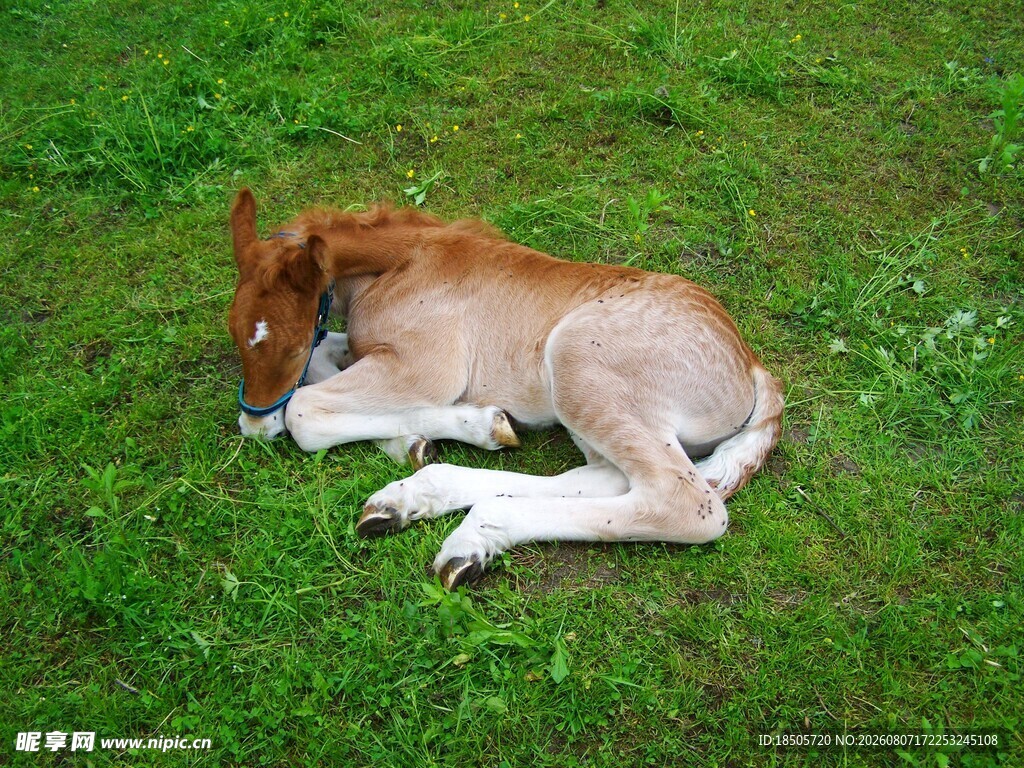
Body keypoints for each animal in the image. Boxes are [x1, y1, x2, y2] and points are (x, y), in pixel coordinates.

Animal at [227, 189, 784, 589]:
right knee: (608, 477)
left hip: (577, 363)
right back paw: (414, 500)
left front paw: (464, 425)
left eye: (290, 344)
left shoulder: (427, 368)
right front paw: (416, 441)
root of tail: (753, 366)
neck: (405, 260)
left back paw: (469, 535)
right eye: (234, 330)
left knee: (684, 502)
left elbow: (305, 408)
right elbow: (327, 366)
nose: (255, 423)